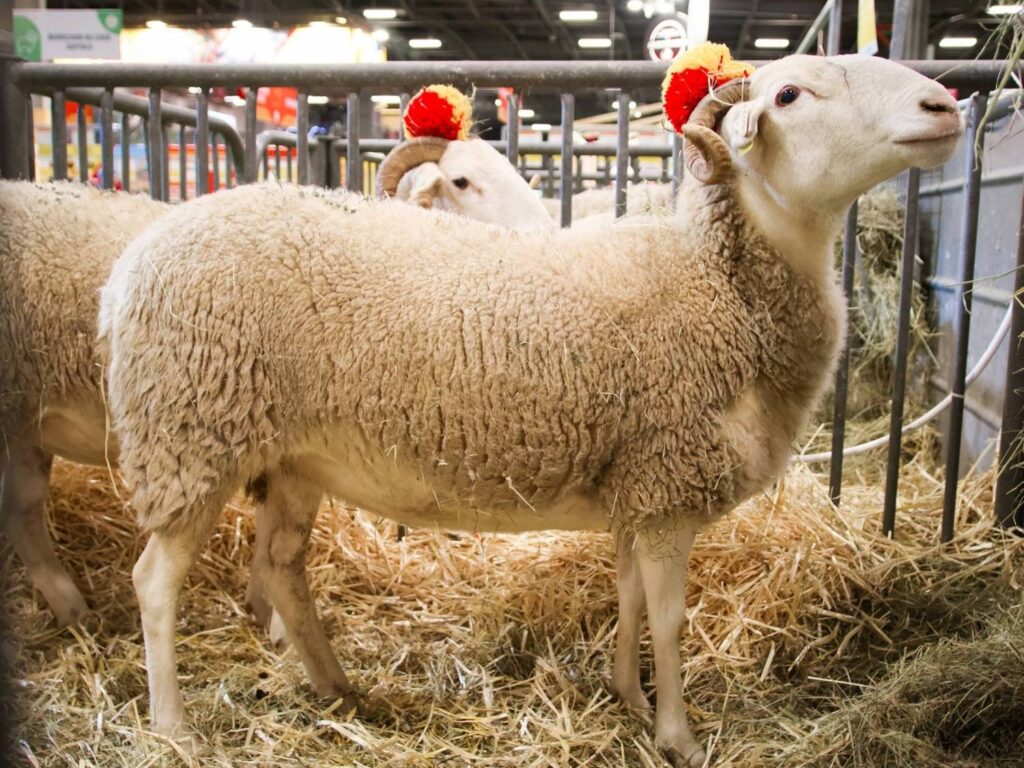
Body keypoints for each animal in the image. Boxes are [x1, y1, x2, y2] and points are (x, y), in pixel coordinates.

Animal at [100, 52, 962, 765]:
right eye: (788, 95)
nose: (944, 104)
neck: (715, 283)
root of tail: (131, 265)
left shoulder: (639, 487)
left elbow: (629, 599)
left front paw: (629, 696)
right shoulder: (670, 485)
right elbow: (671, 620)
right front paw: (678, 735)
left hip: (287, 458)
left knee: (281, 568)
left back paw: (339, 687)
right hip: (190, 437)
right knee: (155, 582)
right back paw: (173, 726)